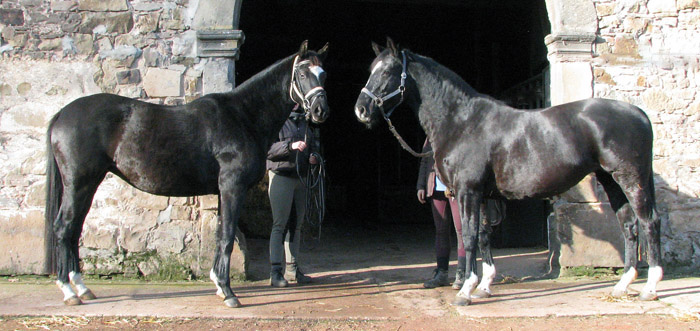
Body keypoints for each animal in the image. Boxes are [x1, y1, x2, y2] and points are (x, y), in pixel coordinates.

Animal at [46, 40, 330, 308]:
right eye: (302, 73)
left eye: (323, 73)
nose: (320, 111)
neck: (243, 116)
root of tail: (62, 114)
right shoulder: (232, 187)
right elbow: (227, 237)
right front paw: (228, 292)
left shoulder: (222, 192)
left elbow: (220, 235)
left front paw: (218, 284)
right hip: (79, 183)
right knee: (63, 228)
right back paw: (69, 291)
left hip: (88, 184)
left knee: (74, 229)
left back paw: (82, 288)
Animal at [356, 38, 660, 306]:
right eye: (370, 70)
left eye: (387, 71)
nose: (361, 110)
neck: (462, 121)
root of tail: (640, 114)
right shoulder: (481, 195)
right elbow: (483, 236)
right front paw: (484, 286)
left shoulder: (467, 192)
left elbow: (469, 236)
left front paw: (465, 291)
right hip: (611, 180)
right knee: (629, 225)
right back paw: (622, 285)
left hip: (630, 179)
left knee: (648, 222)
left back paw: (650, 288)